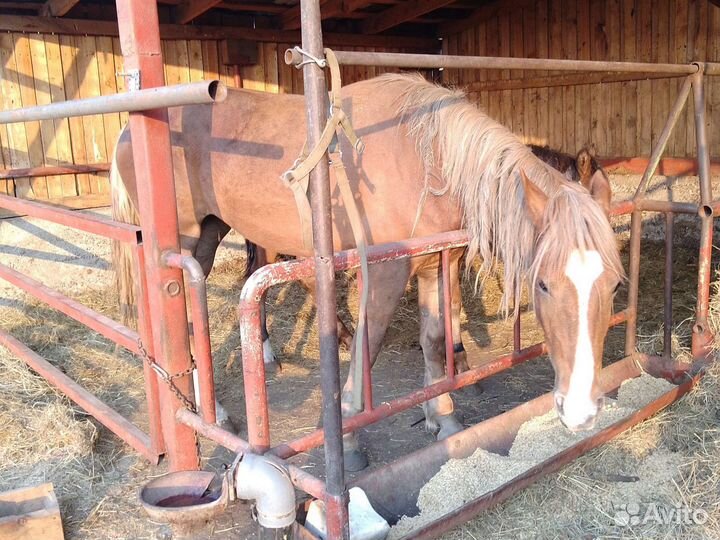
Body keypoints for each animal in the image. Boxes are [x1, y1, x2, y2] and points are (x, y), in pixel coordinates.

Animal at [111, 73, 624, 471]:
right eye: (543, 284)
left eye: (615, 284)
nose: (581, 411)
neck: (428, 160)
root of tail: (127, 132)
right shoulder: (385, 273)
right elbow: (367, 351)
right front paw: (351, 441)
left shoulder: (437, 265)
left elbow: (435, 341)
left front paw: (444, 419)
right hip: (185, 244)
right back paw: (214, 410)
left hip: (213, 233)